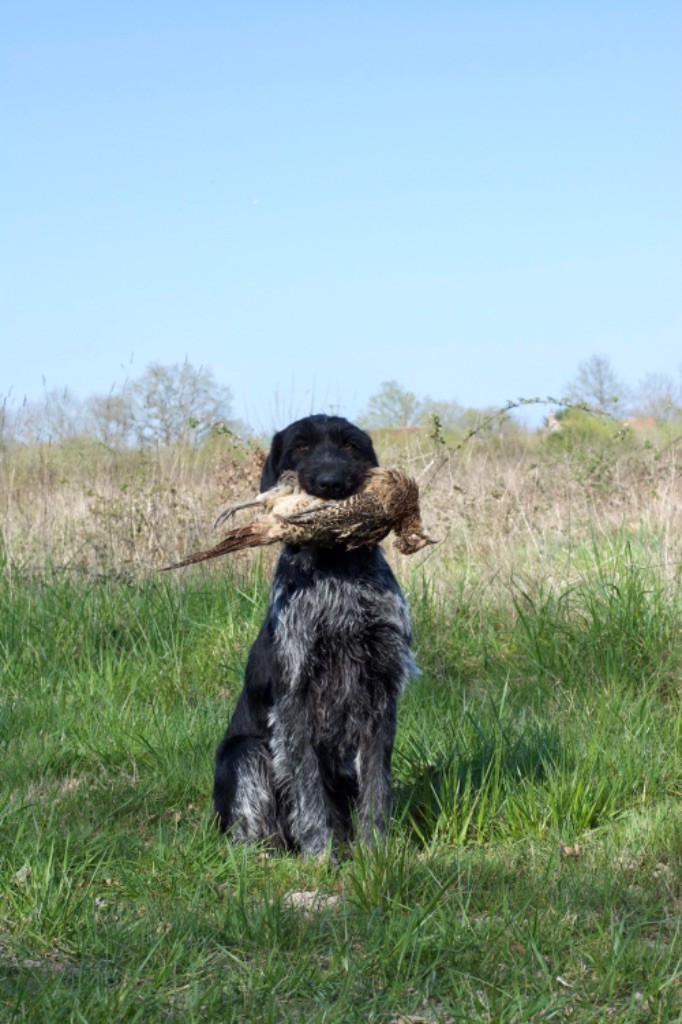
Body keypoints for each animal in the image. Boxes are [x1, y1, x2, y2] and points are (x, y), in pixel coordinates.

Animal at [212, 411, 413, 851]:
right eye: (300, 447)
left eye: (351, 445)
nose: (330, 483)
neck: (336, 567)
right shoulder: (294, 700)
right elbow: (307, 790)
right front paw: (321, 855)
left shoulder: (380, 690)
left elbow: (376, 785)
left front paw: (376, 852)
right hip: (247, 753)